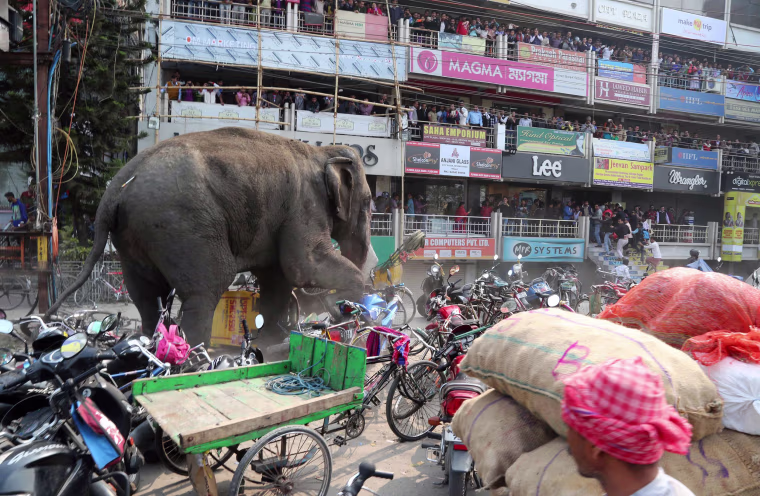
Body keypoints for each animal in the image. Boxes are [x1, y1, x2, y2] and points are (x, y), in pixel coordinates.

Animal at [46, 127, 373, 345]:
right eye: (370, 203)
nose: (338, 312)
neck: (323, 152)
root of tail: (116, 188)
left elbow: (276, 277)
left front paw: (269, 342)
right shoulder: (304, 205)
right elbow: (303, 266)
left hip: (132, 235)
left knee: (146, 294)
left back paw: (152, 343)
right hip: (182, 223)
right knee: (208, 286)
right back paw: (194, 355)